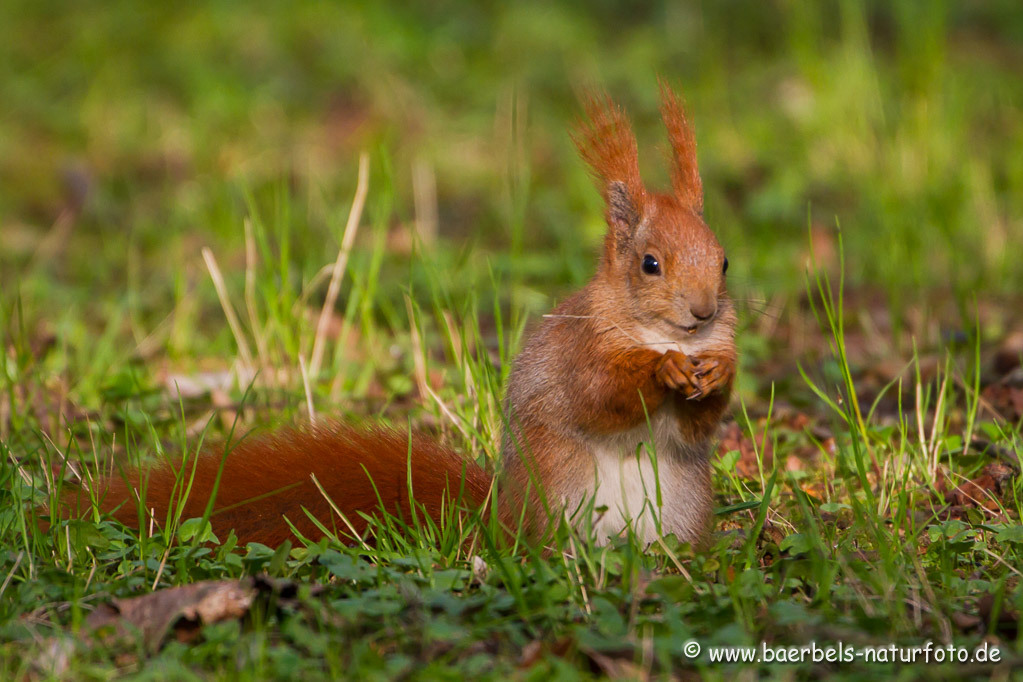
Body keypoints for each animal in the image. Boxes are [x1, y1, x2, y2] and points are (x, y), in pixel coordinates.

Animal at [72, 86, 736, 556]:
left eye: (724, 260)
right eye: (650, 265)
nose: (704, 312)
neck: (657, 331)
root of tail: (500, 517)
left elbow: (697, 425)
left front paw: (714, 377)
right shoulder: (582, 350)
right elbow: (600, 397)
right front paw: (661, 373)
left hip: (682, 502)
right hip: (563, 493)